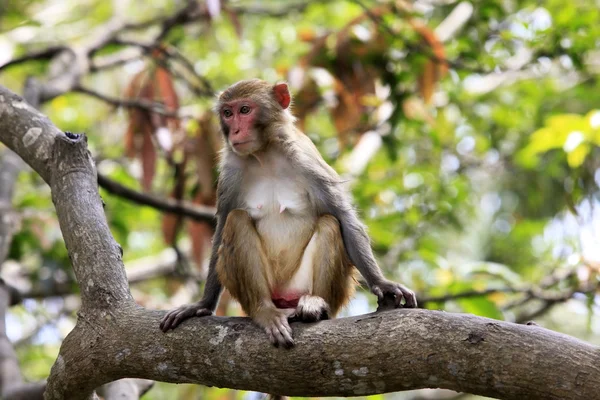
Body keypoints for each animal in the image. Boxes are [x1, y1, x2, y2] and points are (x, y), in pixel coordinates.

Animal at [159, 78, 418, 346]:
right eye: (228, 113)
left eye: (245, 110)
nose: (235, 131)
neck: (265, 155)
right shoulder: (230, 171)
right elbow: (221, 229)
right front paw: (202, 304)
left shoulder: (307, 161)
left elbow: (344, 218)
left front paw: (383, 284)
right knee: (237, 219)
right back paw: (265, 311)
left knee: (329, 223)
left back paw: (315, 305)